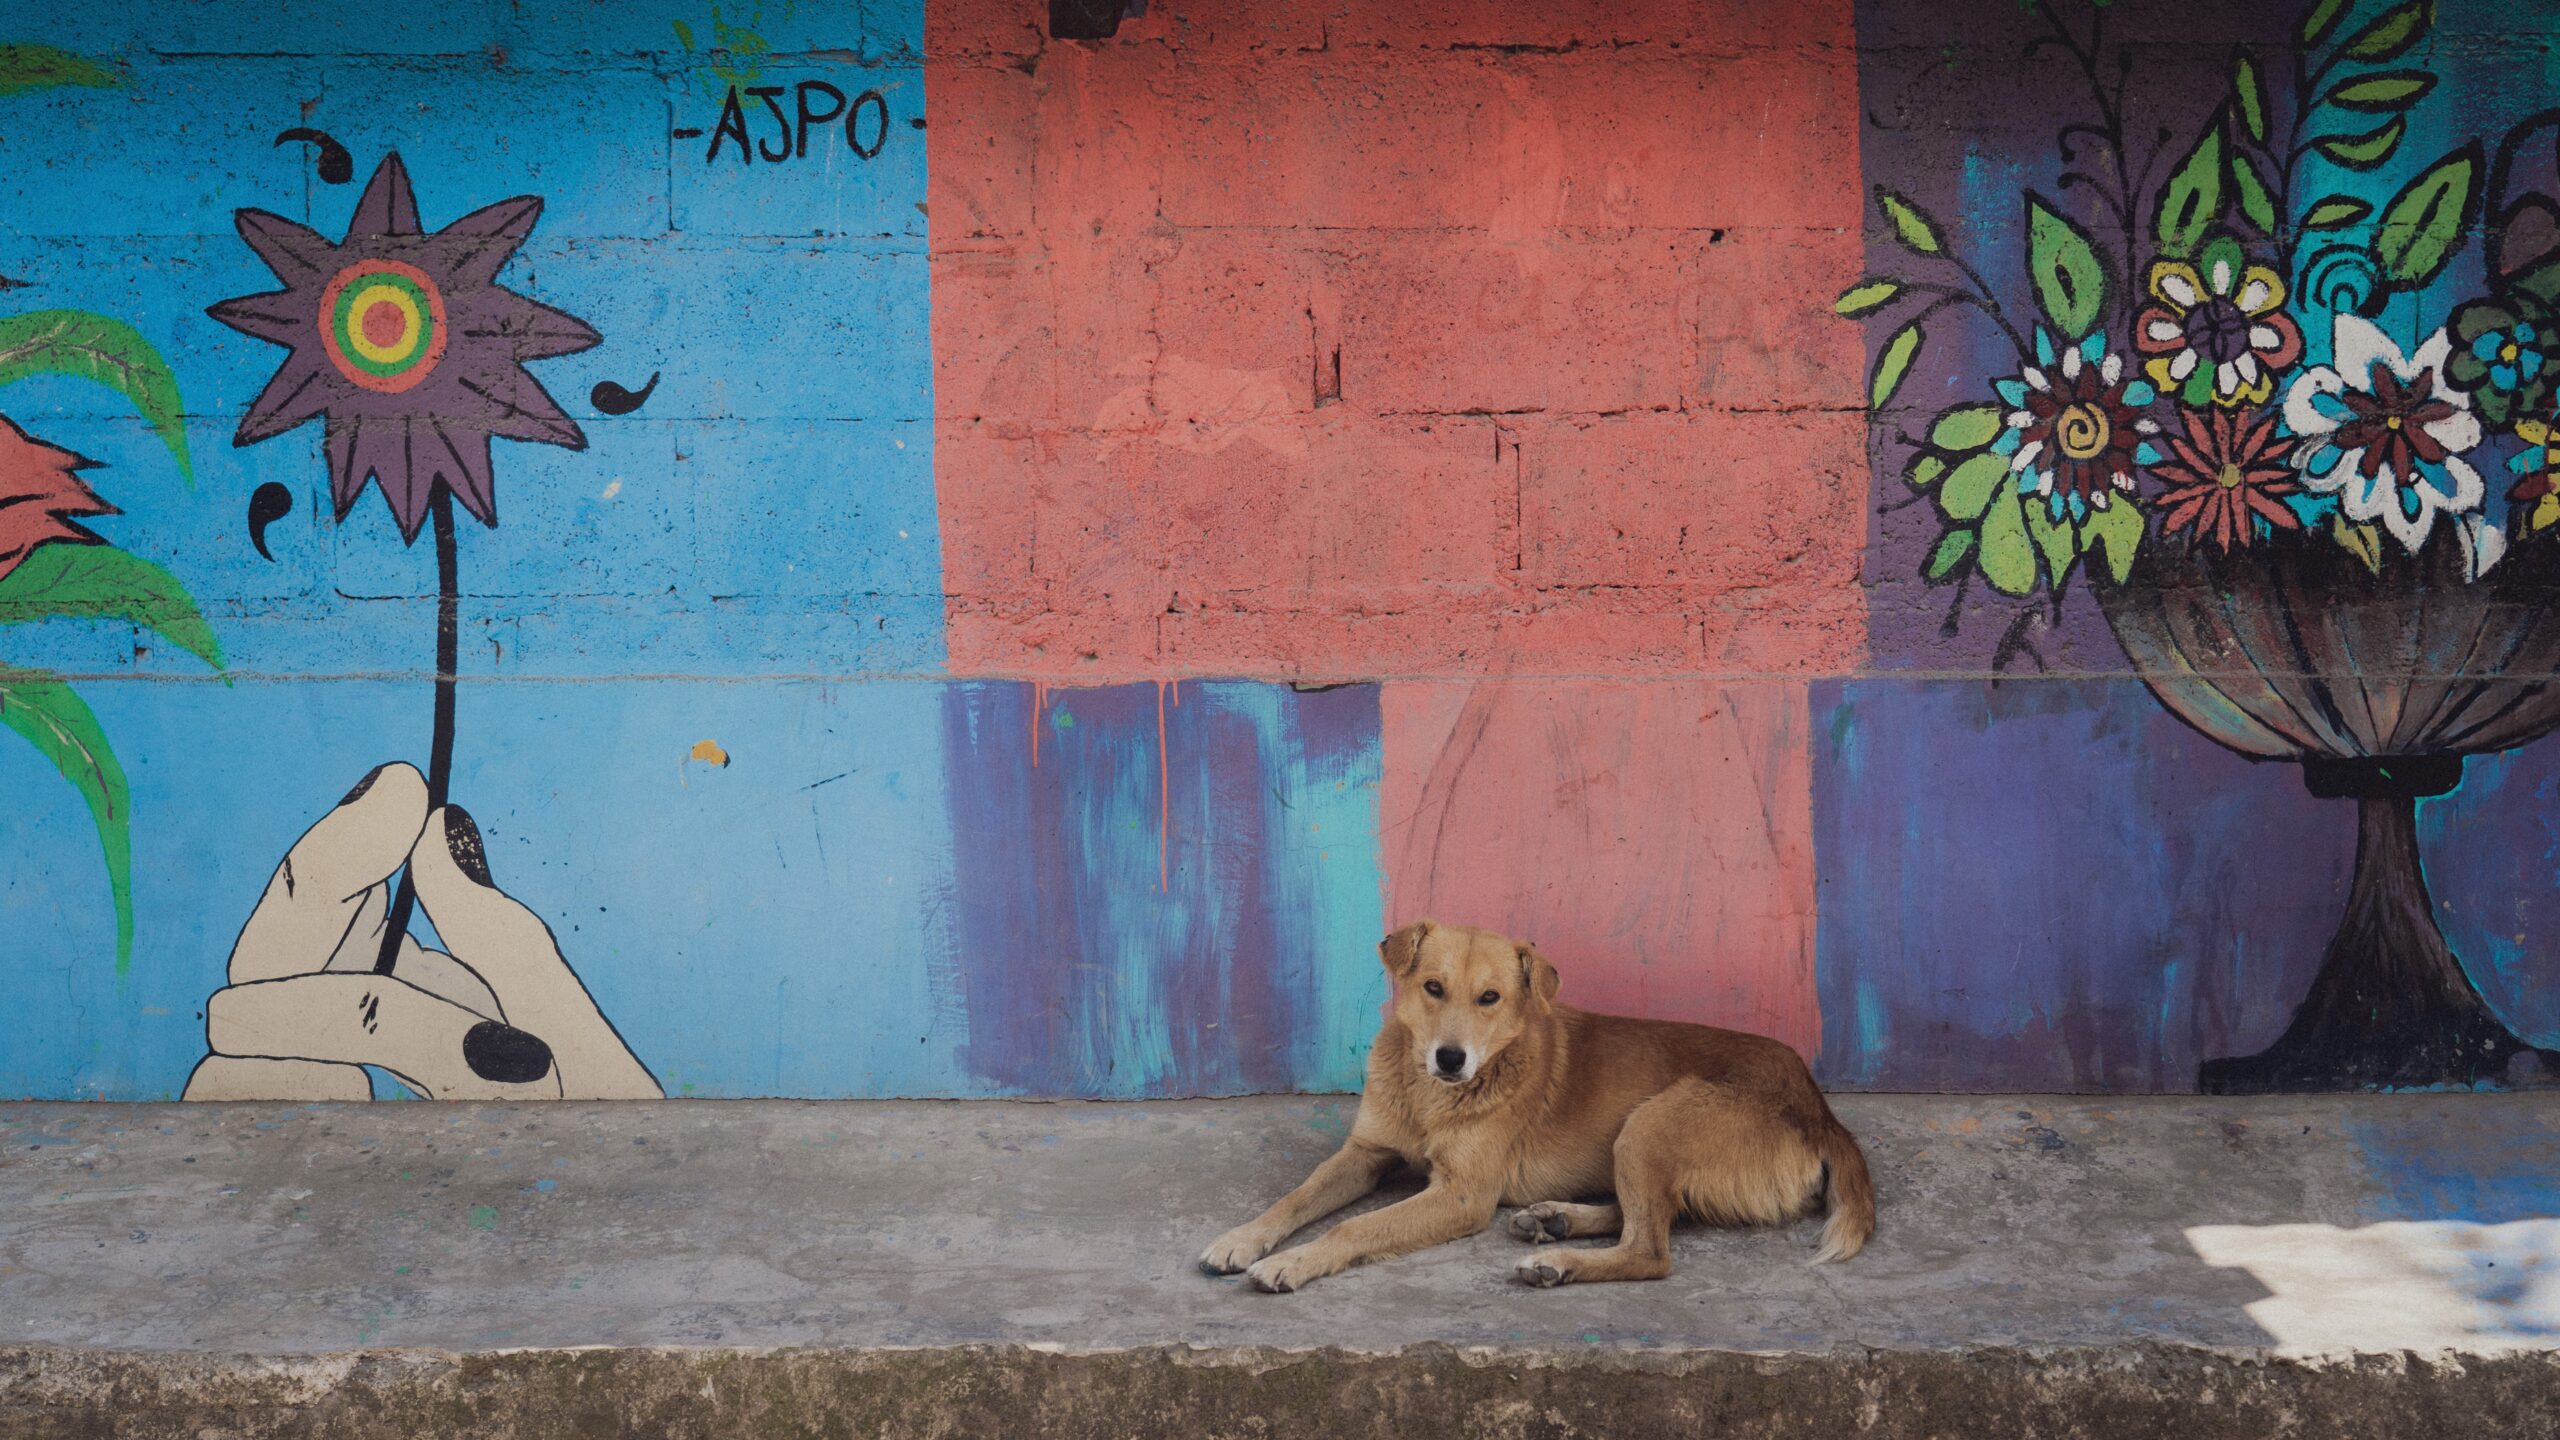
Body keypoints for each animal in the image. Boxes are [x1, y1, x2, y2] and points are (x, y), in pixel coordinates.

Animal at [1198, 917, 1884, 1291]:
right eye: (1433, 988)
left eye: (1491, 998)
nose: (1452, 1059)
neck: (1429, 1098)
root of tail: (1821, 1110)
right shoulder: (1365, 1153)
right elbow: (1295, 1198)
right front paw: (1242, 1239)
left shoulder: (1463, 1195)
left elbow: (1353, 1226)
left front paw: (1293, 1263)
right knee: (1659, 1216)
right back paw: (1555, 1219)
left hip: (1649, 1124)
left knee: (1651, 1251)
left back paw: (1557, 1261)